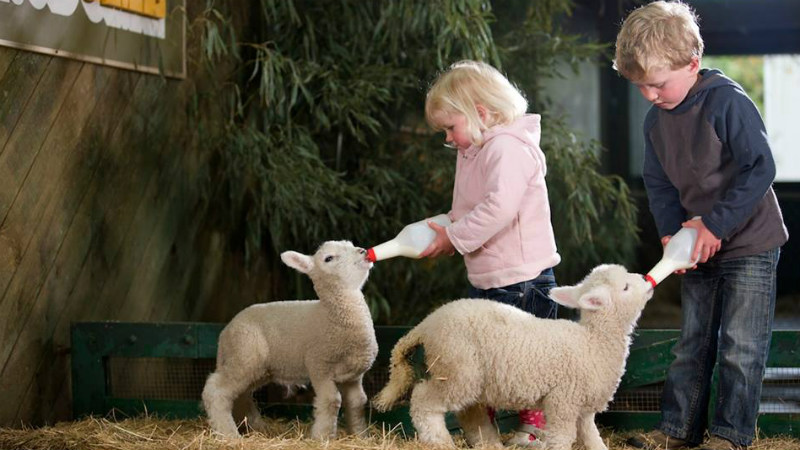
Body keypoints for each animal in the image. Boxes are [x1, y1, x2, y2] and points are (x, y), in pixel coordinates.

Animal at [198, 239, 376, 440]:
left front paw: (361, 435)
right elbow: (332, 400)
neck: (331, 316)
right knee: (215, 391)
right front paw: (321, 437)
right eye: (328, 258)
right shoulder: (319, 367)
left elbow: (358, 401)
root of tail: (225, 332)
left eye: (351, 245)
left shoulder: (354, 376)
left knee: (241, 395)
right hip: (243, 356)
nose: (363, 252)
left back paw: (258, 428)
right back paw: (229, 434)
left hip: (257, 368)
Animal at [372, 264, 652, 450]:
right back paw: (440, 441)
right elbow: (561, 438)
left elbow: (593, 438)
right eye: (626, 287)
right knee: (423, 400)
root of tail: (425, 325)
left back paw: (489, 443)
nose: (646, 279)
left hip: (469, 378)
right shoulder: (562, 402)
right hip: (456, 370)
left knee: (470, 415)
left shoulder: (582, 409)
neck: (592, 342)